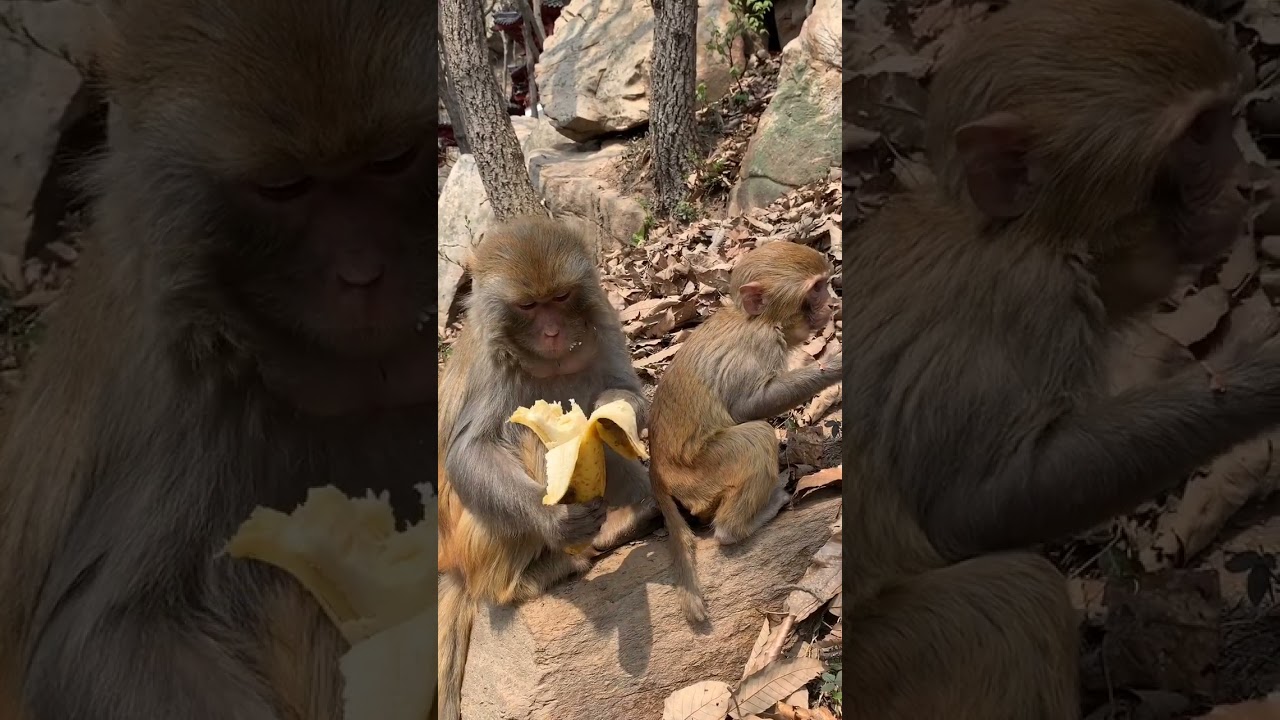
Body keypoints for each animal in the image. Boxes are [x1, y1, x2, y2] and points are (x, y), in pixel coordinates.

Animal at [436, 217, 658, 720]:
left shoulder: (605, 321)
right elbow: (469, 451)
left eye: (560, 298)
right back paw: (532, 575)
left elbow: (619, 396)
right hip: (475, 542)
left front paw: (611, 415)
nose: (554, 331)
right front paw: (554, 520)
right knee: (524, 435)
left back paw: (630, 518)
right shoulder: (490, 361)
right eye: (528, 306)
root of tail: (450, 562)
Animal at [647, 240, 842, 625]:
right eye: (816, 289)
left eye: (825, 284)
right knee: (755, 439)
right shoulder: (758, 346)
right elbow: (746, 407)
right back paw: (739, 526)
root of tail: (657, 468)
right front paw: (837, 362)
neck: (759, 319)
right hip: (700, 475)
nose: (831, 303)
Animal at [840, 0, 1280, 717]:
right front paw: (1264, 374)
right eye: (1198, 137)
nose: (1248, 182)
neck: (1018, 232)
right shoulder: (1025, 303)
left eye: (1225, 122)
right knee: (1015, 602)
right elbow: (977, 504)